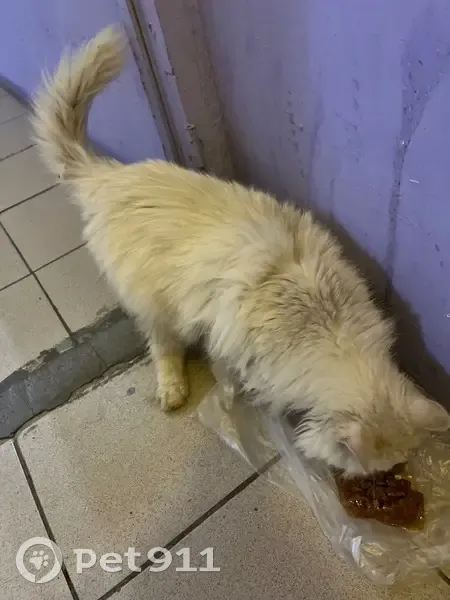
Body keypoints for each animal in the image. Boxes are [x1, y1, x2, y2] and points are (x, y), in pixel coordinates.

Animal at [31, 26, 449, 476]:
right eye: (376, 473)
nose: (388, 479)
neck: (325, 320)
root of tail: (109, 175)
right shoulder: (230, 337)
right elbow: (229, 373)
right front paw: (238, 396)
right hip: (156, 303)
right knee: (162, 347)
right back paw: (172, 387)